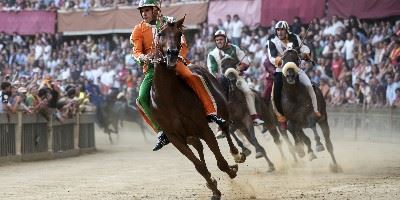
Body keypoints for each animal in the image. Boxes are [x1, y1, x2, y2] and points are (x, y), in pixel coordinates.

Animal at [149, 16, 245, 199]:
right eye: (161, 34)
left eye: (179, 34)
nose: (172, 53)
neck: (169, 97)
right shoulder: (176, 138)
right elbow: (198, 165)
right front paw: (213, 187)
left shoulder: (202, 127)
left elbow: (221, 162)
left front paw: (231, 170)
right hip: (190, 135)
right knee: (199, 147)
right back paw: (211, 181)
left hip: (221, 108)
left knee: (225, 126)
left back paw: (237, 155)